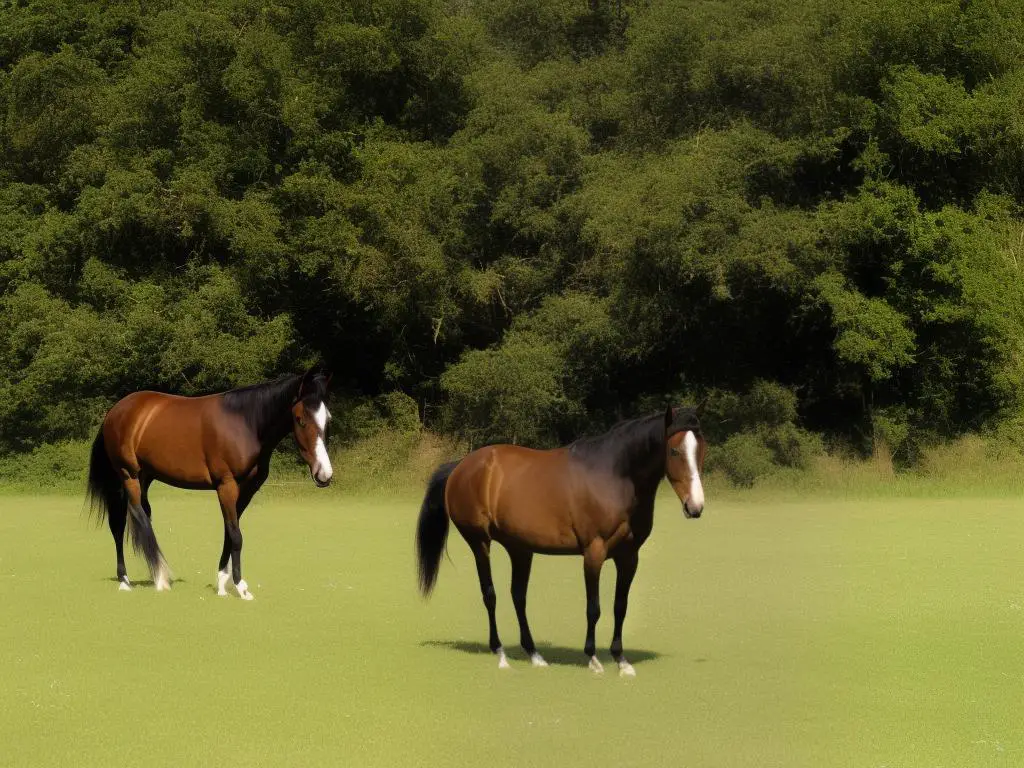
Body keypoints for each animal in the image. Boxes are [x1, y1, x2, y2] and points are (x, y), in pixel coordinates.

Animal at [85, 372, 331, 602]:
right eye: (300, 419)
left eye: (327, 418)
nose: (324, 474)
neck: (245, 424)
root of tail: (116, 410)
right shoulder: (226, 486)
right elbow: (236, 535)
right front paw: (241, 587)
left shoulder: (246, 490)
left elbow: (229, 532)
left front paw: (222, 583)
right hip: (128, 476)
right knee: (125, 522)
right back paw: (134, 579)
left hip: (145, 476)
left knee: (140, 518)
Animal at [413, 405, 704, 675]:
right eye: (674, 451)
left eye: (701, 450)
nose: (695, 507)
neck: (614, 477)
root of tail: (461, 466)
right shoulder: (594, 552)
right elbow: (594, 608)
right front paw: (593, 658)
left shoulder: (629, 556)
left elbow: (620, 606)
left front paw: (622, 661)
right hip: (479, 543)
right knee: (490, 595)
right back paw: (501, 654)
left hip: (519, 548)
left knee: (518, 596)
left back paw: (534, 655)